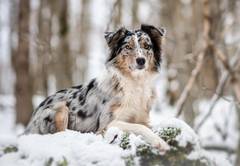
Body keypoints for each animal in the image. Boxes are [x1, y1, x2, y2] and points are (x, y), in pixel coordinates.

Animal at [24, 24, 169, 152]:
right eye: (128, 47)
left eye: (147, 46)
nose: (141, 60)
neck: (135, 83)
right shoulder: (107, 125)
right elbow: (139, 127)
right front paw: (160, 142)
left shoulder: (144, 118)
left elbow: (145, 125)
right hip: (60, 108)